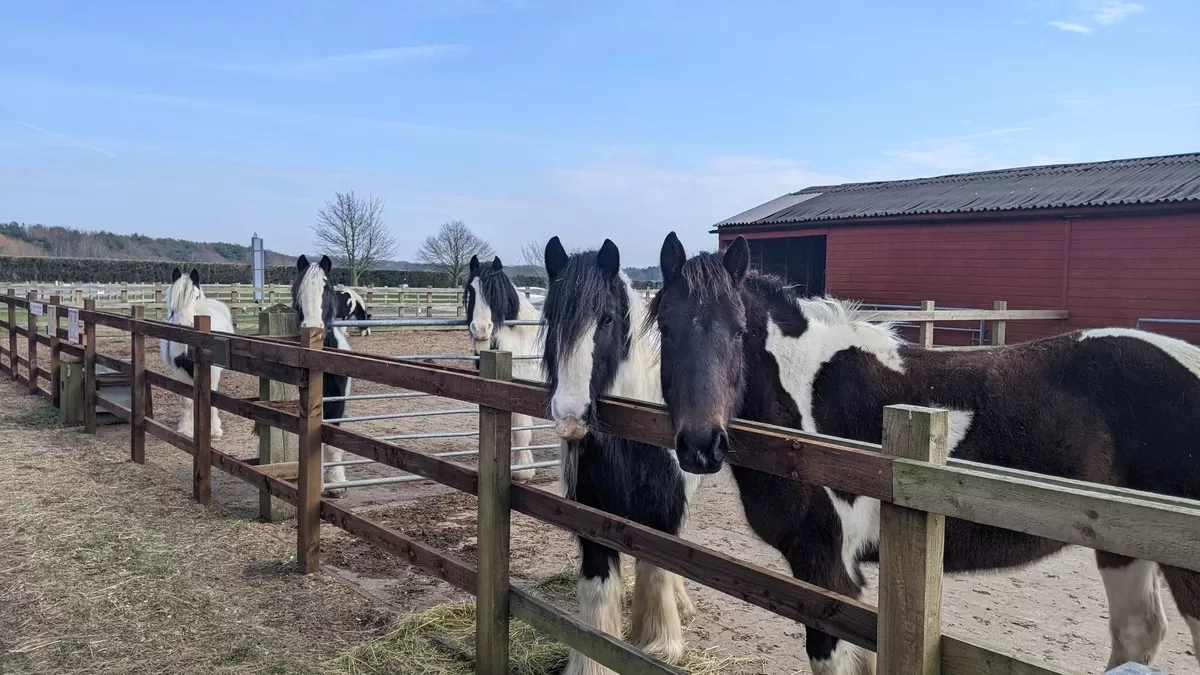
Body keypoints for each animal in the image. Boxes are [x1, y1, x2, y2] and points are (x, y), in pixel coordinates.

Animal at [159, 265, 234, 439]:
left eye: (197, 297)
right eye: (174, 298)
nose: (184, 327)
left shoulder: (212, 371)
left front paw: (214, 430)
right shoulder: (180, 370)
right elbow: (186, 401)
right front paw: (186, 430)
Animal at [544, 236, 700, 672]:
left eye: (608, 320)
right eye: (551, 318)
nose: (570, 416)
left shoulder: (664, 513)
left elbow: (657, 571)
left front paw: (659, 643)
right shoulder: (592, 516)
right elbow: (598, 587)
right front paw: (592, 660)